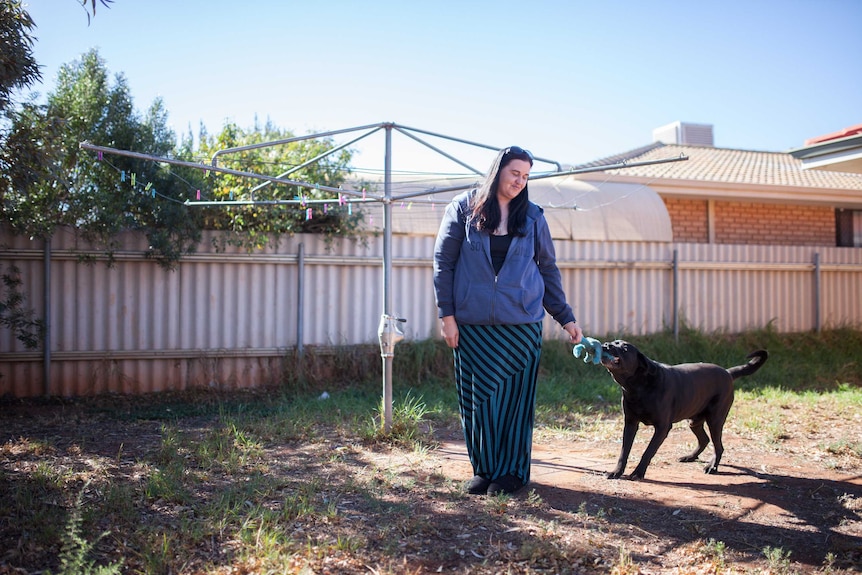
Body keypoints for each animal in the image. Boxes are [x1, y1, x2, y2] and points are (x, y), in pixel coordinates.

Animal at [600, 342, 768, 482]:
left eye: (624, 348)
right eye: (613, 342)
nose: (605, 345)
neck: (638, 386)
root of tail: (727, 373)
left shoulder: (662, 428)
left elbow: (648, 451)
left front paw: (638, 473)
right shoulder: (630, 424)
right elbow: (624, 452)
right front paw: (616, 472)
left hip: (715, 420)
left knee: (718, 446)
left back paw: (712, 467)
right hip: (694, 421)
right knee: (704, 439)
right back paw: (690, 457)